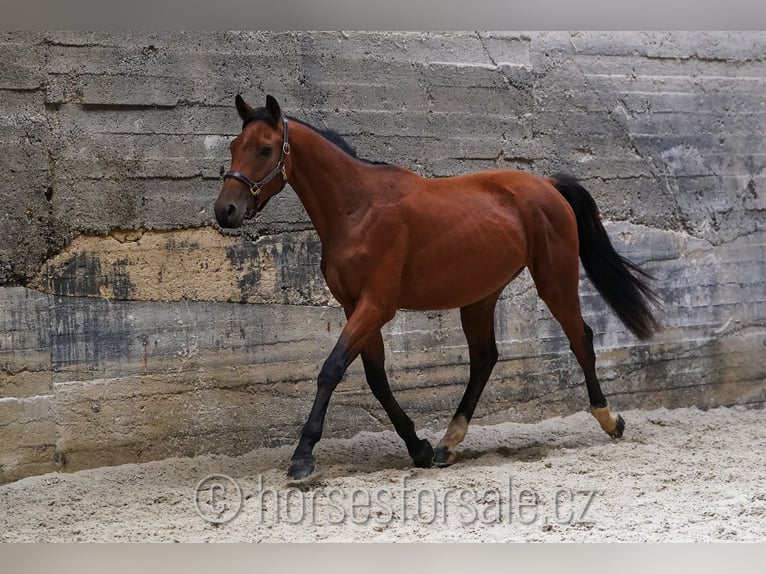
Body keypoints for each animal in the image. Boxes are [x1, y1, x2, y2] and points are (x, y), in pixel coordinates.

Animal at [214, 94, 660, 482]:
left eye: (265, 149)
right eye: (235, 145)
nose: (225, 210)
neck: (357, 208)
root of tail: (548, 185)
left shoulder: (376, 305)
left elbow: (332, 369)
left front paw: (303, 457)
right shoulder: (355, 307)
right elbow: (376, 380)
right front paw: (420, 448)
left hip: (555, 280)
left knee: (580, 339)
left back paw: (610, 420)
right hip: (480, 296)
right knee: (484, 358)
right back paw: (447, 444)